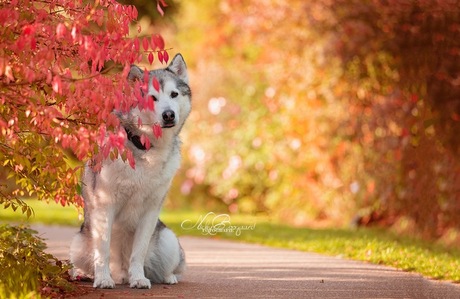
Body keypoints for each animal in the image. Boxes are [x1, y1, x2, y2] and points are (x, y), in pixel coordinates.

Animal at [68, 54, 190, 290]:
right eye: (152, 98)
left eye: (174, 94)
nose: (169, 115)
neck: (146, 148)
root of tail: (120, 272)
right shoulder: (105, 205)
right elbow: (103, 251)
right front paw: (103, 279)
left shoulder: (150, 210)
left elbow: (138, 252)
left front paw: (139, 278)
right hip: (77, 242)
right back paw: (84, 274)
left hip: (168, 239)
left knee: (167, 268)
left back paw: (166, 276)